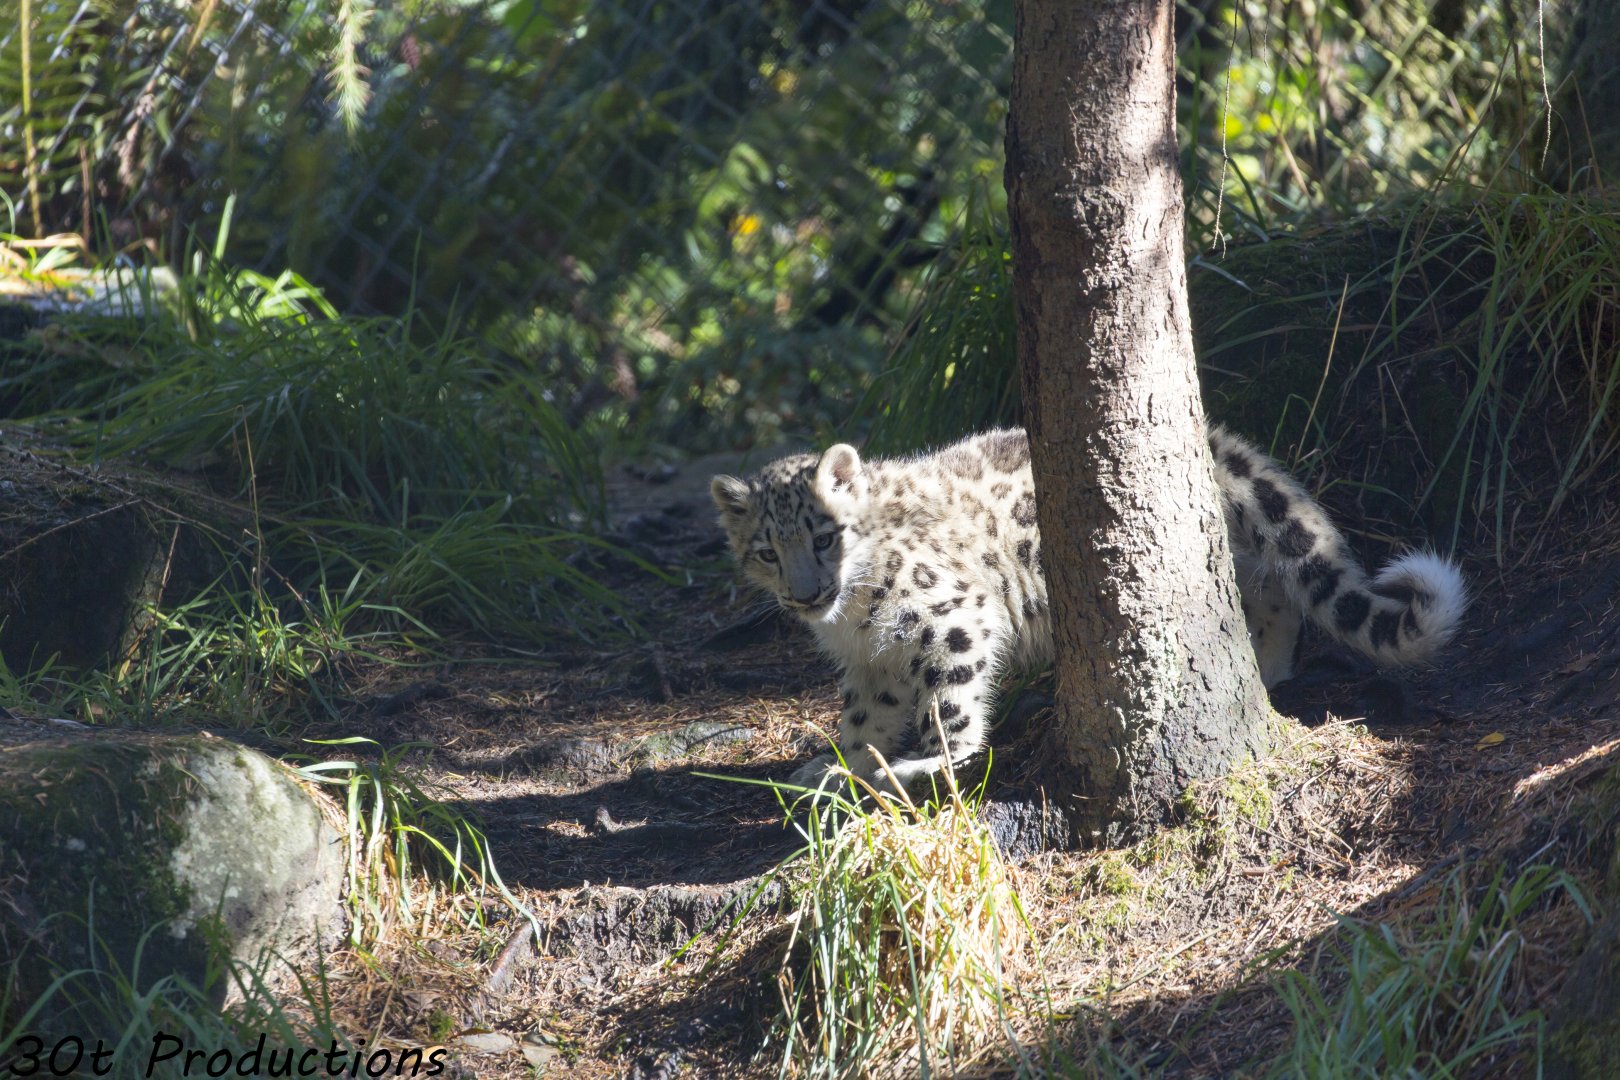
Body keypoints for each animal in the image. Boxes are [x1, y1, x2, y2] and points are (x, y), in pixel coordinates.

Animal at [710, 425, 1467, 790]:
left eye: (823, 535)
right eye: (767, 550)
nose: (806, 593)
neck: (855, 619)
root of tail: (1212, 440)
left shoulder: (950, 616)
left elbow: (949, 705)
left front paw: (928, 764)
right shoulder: (871, 663)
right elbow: (865, 717)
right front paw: (833, 765)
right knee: (1269, 593)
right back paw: (1264, 665)